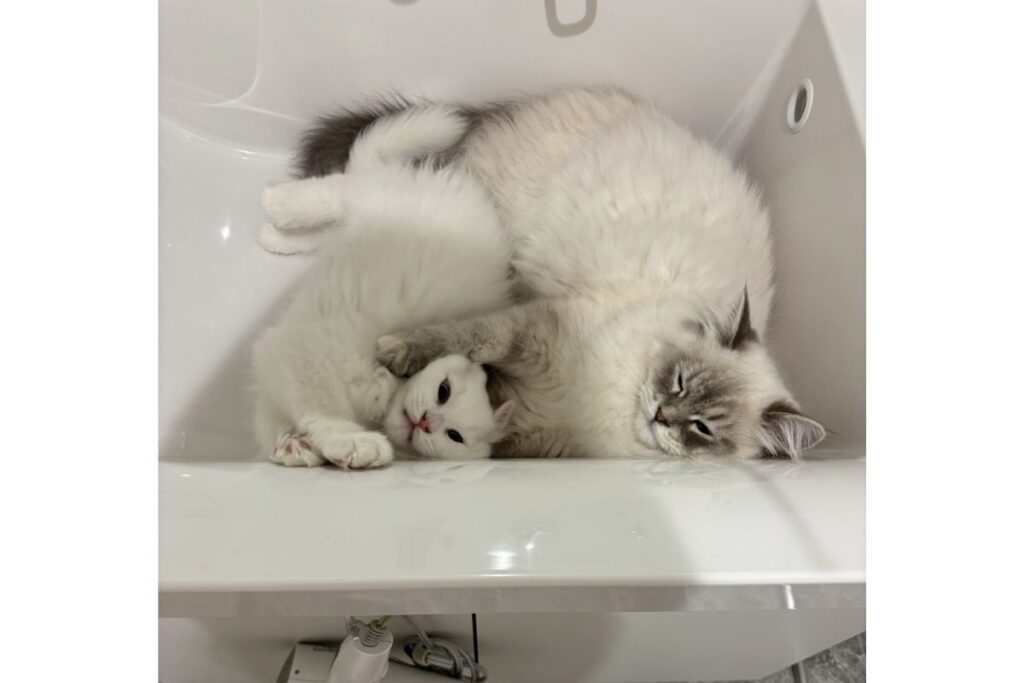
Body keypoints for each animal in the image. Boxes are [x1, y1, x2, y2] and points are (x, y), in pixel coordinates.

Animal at [252, 106, 515, 468]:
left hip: (351, 223)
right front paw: (354, 443)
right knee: (332, 189)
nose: (427, 422)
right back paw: (276, 203)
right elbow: (322, 414)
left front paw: (293, 446)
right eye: (443, 391)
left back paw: (273, 237)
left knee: (323, 227)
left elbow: (274, 427)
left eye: (454, 436)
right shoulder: (307, 359)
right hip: (364, 197)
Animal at [292, 87, 826, 460]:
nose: (661, 415)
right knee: (359, 179)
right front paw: (397, 356)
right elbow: (464, 339)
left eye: (703, 428)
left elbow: (482, 423)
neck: (606, 405)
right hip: (486, 199)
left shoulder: (538, 433)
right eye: (677, 380)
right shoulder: (532, 330)